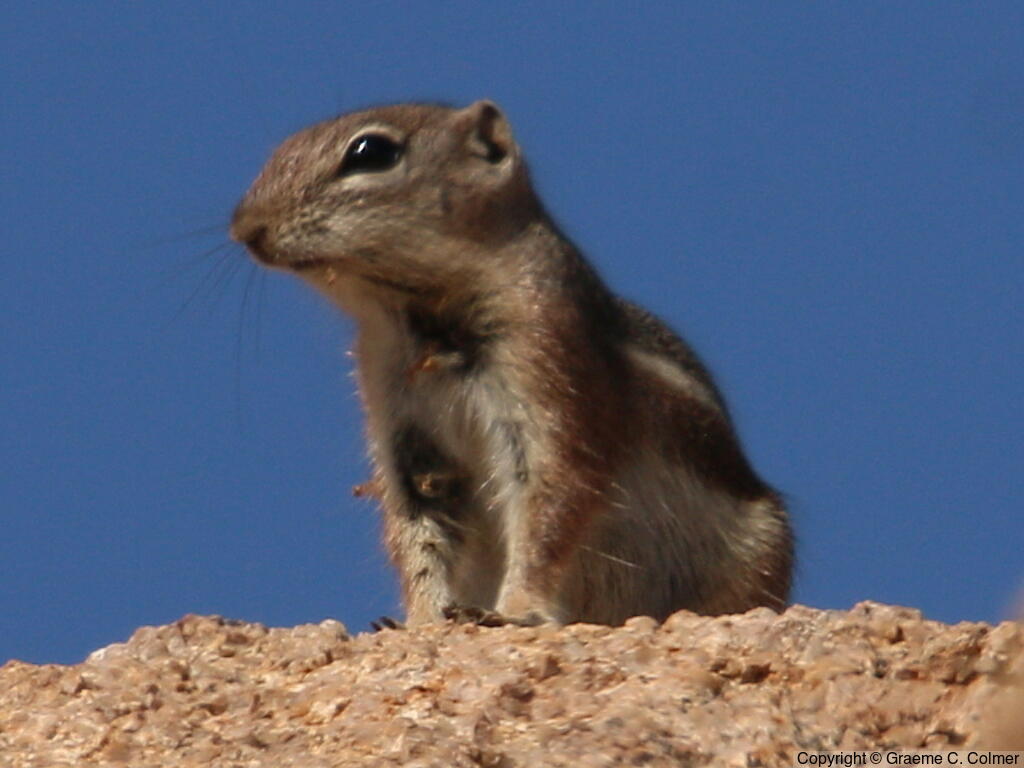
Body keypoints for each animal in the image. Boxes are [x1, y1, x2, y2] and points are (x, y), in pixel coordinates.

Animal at [231, 100, 793, 626]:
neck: (421, 318)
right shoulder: (404, 429)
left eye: (372, 152)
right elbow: (416, 529)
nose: (245, 228)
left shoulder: (549, 364)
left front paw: (515, 609)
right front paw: (420, 620)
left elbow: (551, 502)